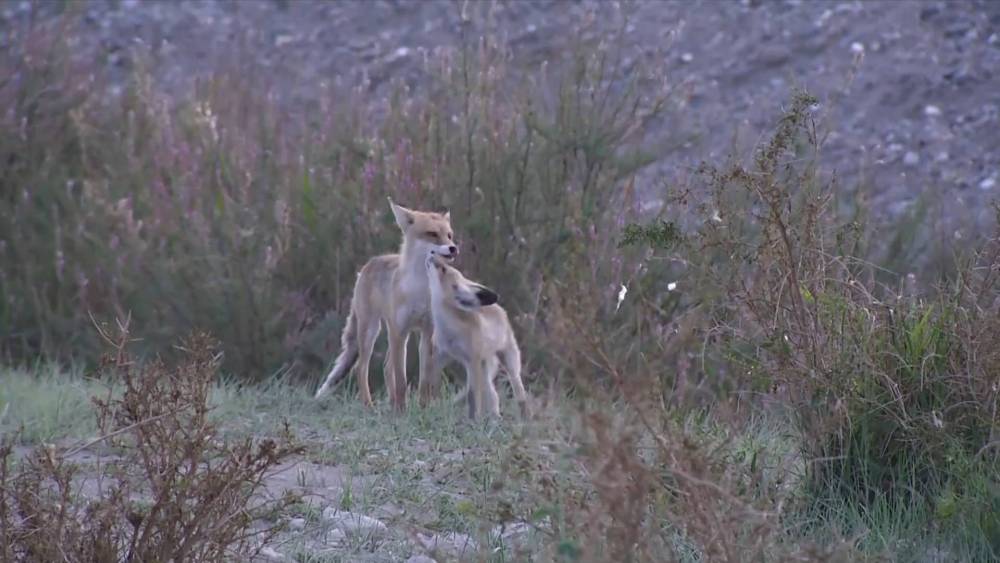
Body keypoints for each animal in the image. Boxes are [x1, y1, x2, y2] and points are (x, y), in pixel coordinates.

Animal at [314, 198, 458, 410]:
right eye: (432, 234)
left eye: (449, 235)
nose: (454, 248)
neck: (420, 289)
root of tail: (368, 265)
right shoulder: (400, 331)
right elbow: (401, 380)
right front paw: (401, 411)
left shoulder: (427, 331)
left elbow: (424, 380)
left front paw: (422, 408)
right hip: (371, 331)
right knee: (362, 369)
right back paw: (369, 405)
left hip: (391, 333)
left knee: (386, 367)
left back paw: (389, 403)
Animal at [424, 250, 530, 419]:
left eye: (444, 269)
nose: (432, 251)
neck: (449, 331)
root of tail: (498, 307)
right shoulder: (440, 355)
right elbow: (430, 385)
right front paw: (426, 407)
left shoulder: (472, 360)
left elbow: (472, 396)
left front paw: (473, 420)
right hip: (485, 367)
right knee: (493, 395)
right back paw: (495, 417)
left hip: (508, 362)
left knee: (517, 389)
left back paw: (523, 415)